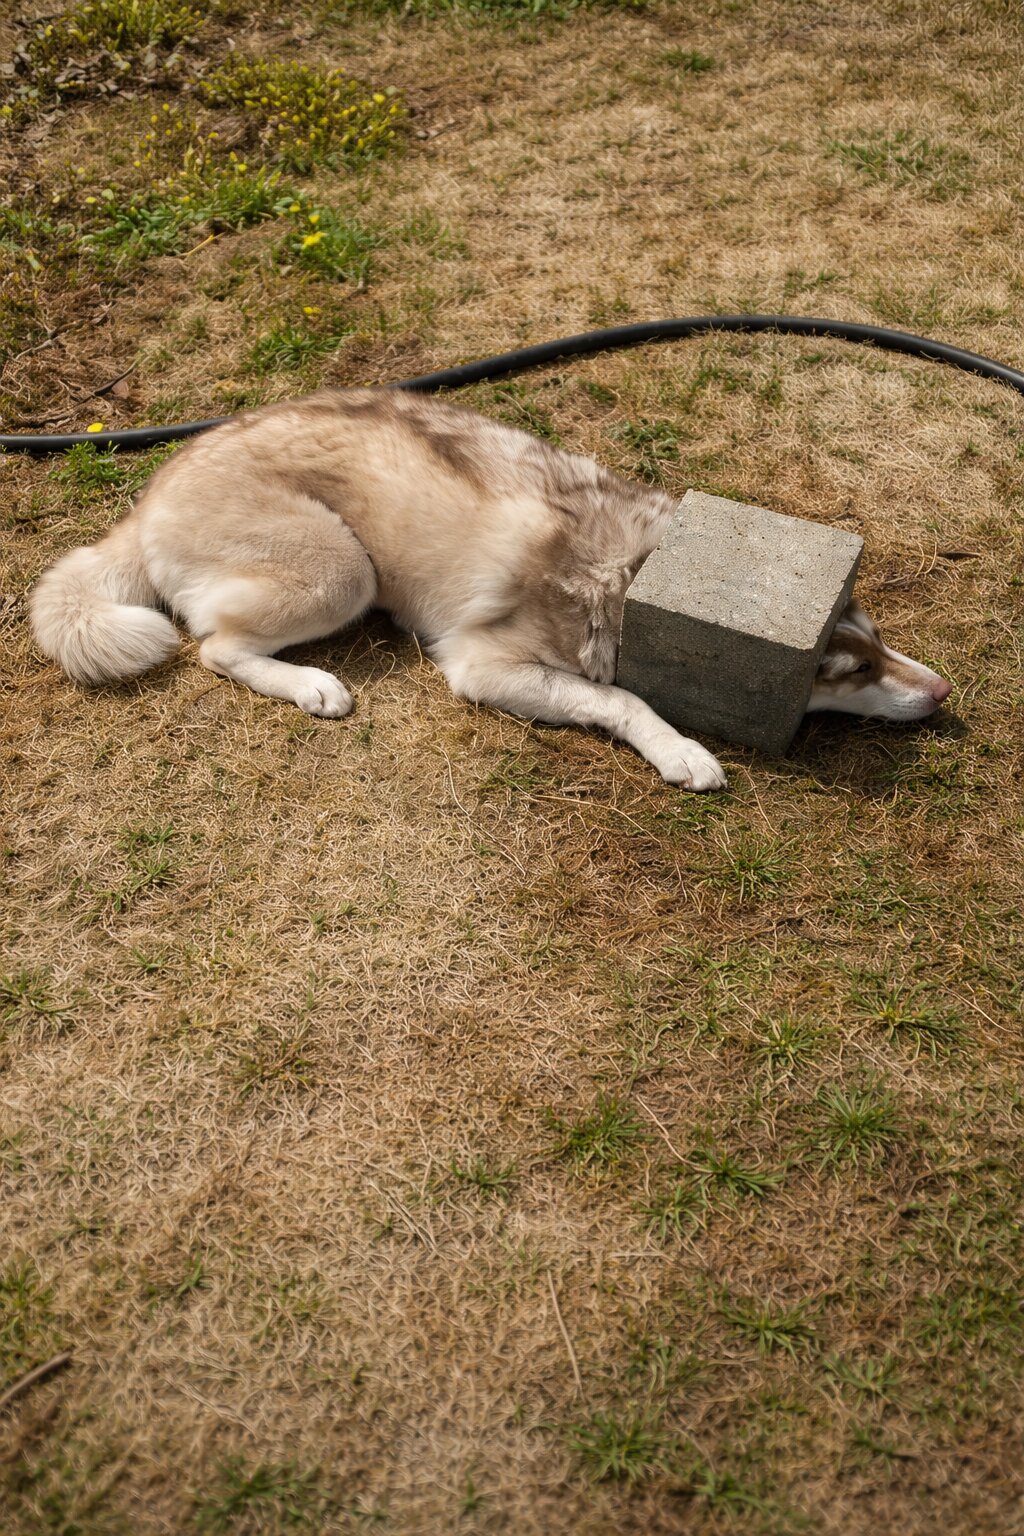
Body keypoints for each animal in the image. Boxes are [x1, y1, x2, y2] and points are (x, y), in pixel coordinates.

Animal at [29, 389, 952, 790]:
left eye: (876, 640)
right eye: (848, 675)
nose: (944, 692)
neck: (633, 564)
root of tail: (147, 500)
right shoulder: (483, 665)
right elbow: (624, 701)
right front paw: (683, 751)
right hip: (343, 573)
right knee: (215, 645)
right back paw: (314, 685)